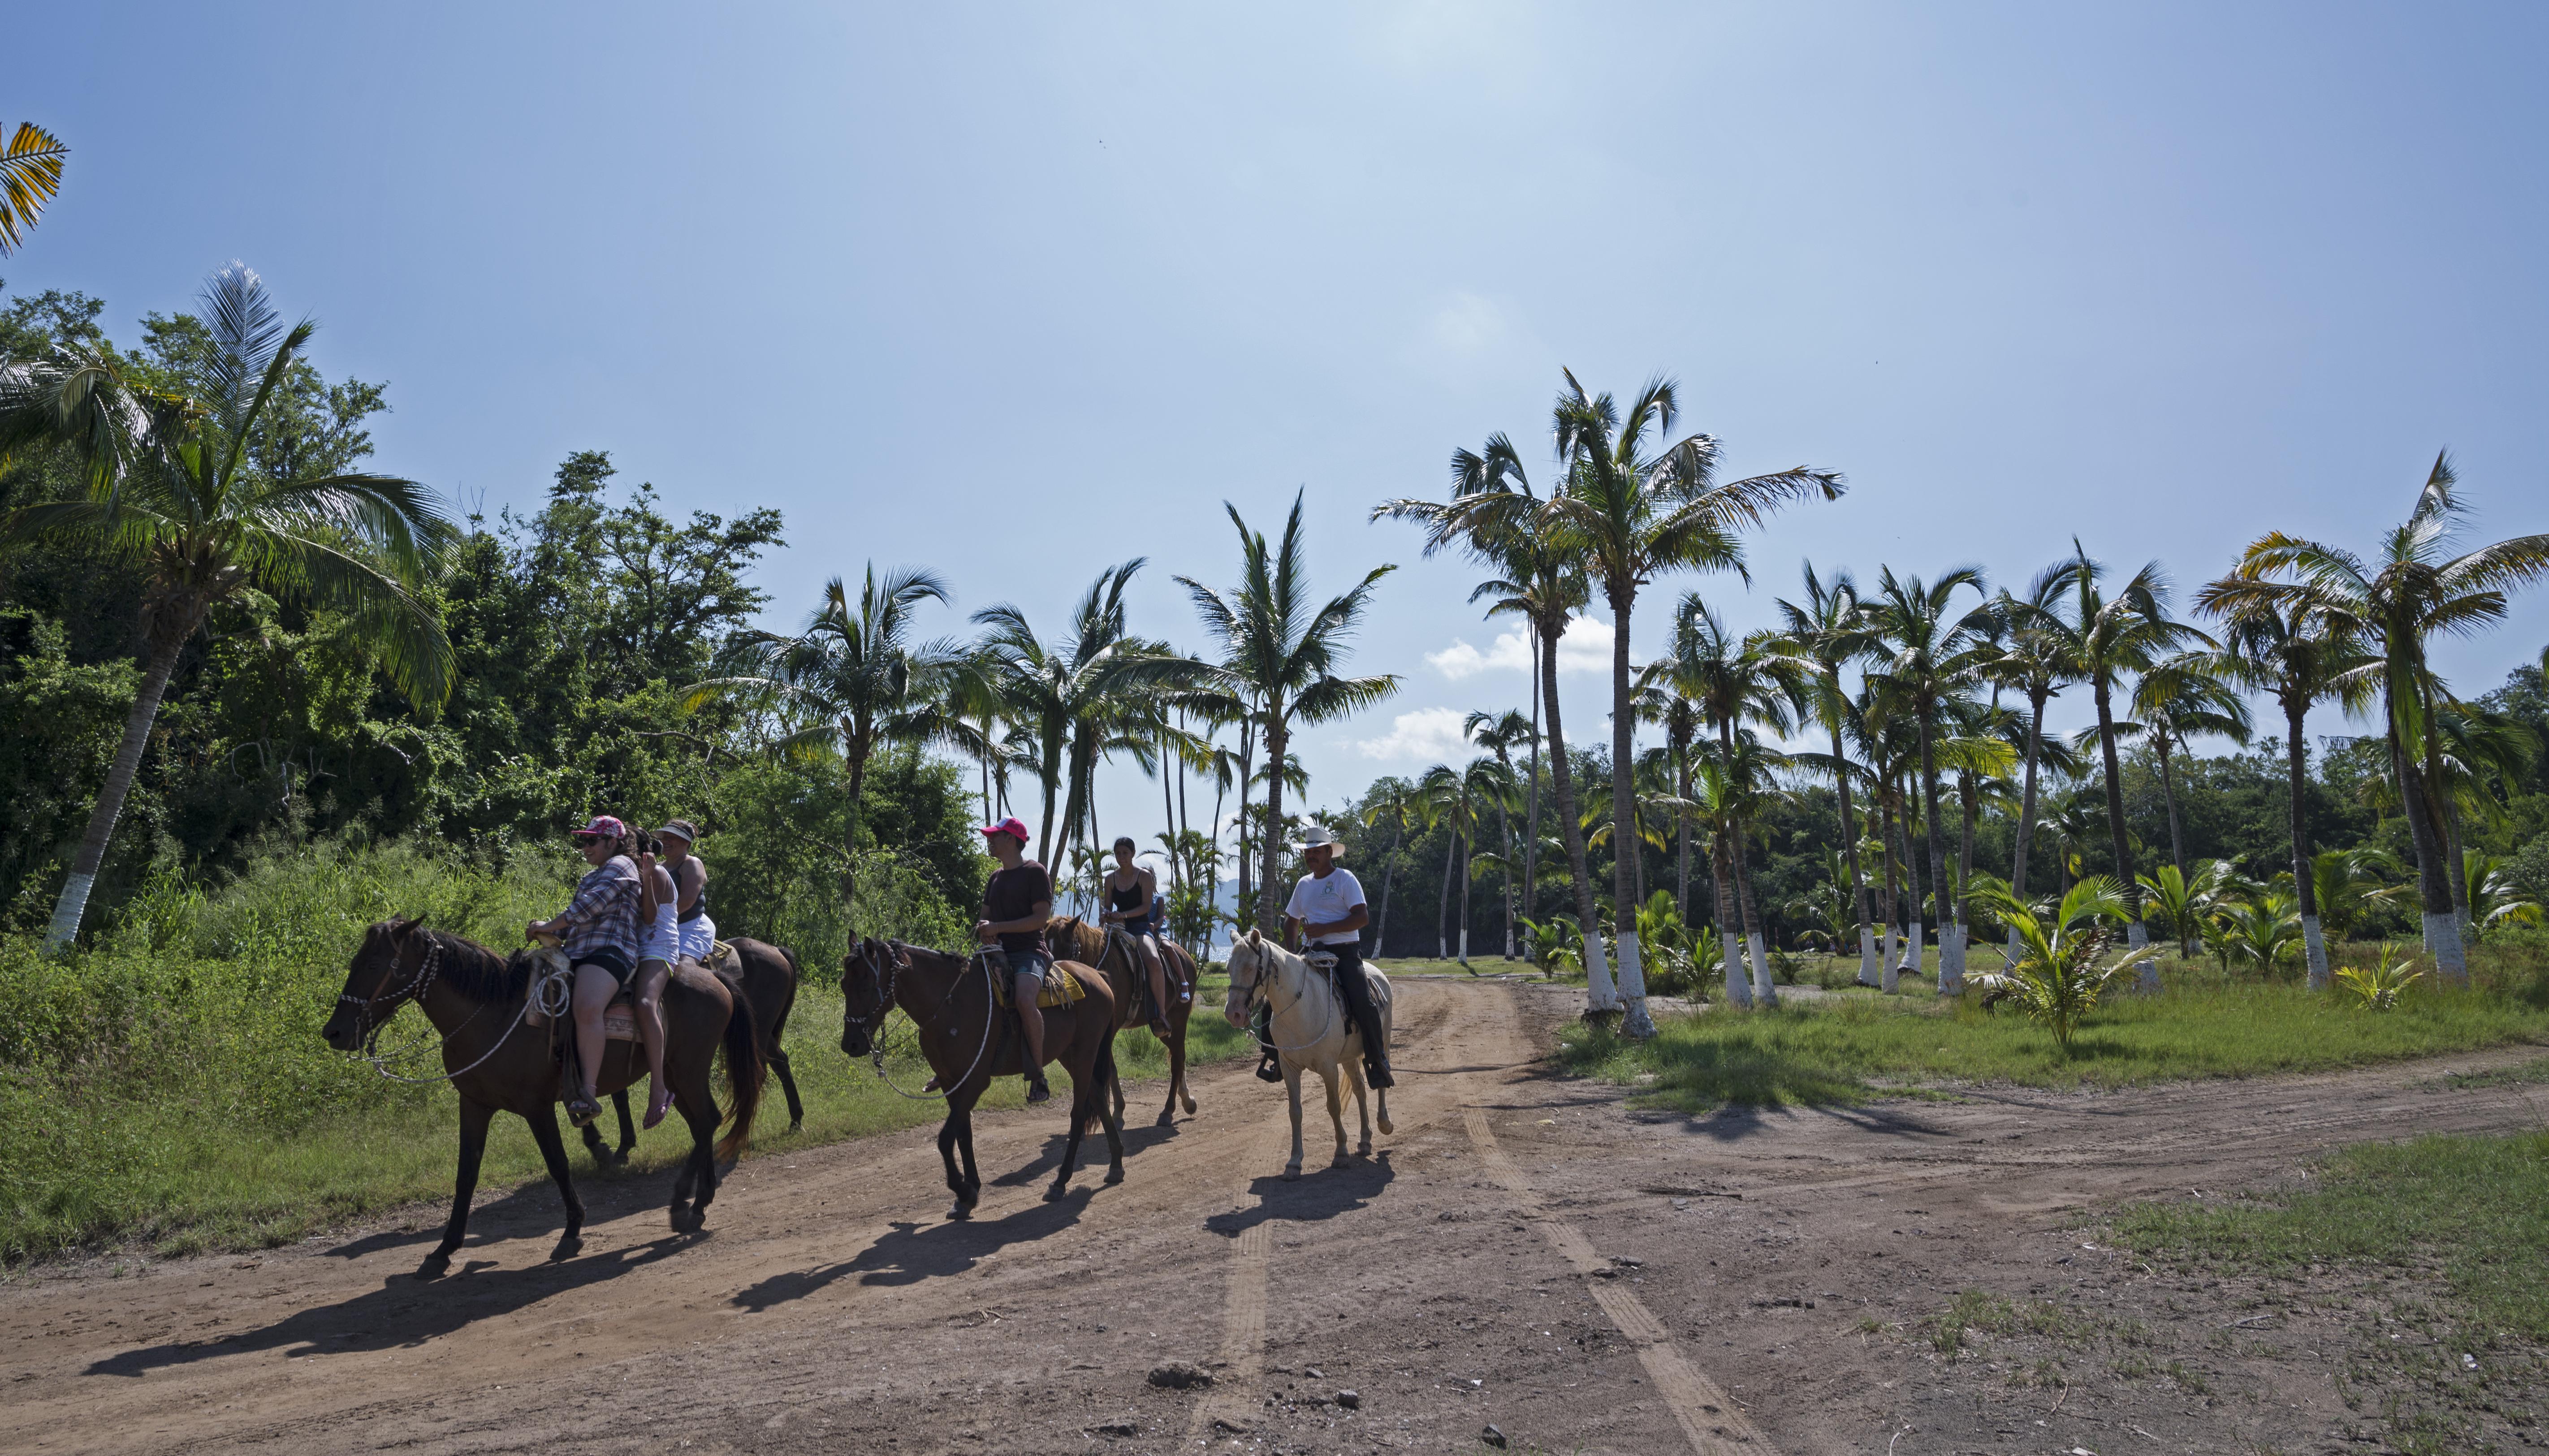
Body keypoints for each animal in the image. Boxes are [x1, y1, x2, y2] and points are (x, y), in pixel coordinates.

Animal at [317, 923, 760, 1275]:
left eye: (374, 965)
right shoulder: (474, 1105)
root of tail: (717, 981)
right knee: (704, 1124)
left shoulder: (537, 1107)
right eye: (357, 962)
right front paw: (443, 1251)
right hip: (674, 1077)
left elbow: (558, 1165)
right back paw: (700, 1203)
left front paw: (572, 1231)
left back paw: (683, 1204)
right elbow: (466, 1175)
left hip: (686, 1072)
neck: (491, 1015)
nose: (334, 1032)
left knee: (707, 1122)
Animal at [588, 938, 805, 1167]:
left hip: (759, 1032)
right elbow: (616, 1096)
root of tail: (777, 950)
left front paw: (606, 1147)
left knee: (760, 1073)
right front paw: (618, 1147)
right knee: (780, 1063)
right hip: (762, 1033)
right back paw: (795, 1120)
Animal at [841, 933, 1121, 1219]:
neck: (950, 1004)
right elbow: (963, 1134)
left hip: (1086, 1052)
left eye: (866, 985)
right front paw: (970, 1191)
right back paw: (1116, 1165)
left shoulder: (975, 1082)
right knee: (1098, 1099)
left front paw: (963, 1190)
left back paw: (1060, 1181)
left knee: (1079, 1114)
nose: (850, 1045)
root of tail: (1098, 976)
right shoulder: (951, 1081)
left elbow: (946, 1139)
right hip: (1070, 1055)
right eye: (844, 985)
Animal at [1040, 918, 1198, 1132]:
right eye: (1046, 948)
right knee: (1179, 1055)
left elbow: (1108, 1069)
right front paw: (1117, 1113)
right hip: (1165, 1028)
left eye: (1067, 946)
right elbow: (1108, 1070)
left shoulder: (1108, 1031)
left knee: (1177, 1061)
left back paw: (1168, 1110)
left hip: (1179, 1019)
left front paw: (1116, 1114)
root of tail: (1186, 957)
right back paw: (1187, 1100)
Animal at [1218, 933, 1397, 1183]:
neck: (1301, 1008)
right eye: (1228, 967)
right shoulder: (1289, 1067)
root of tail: (1378, 974)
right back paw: (1365, 1139)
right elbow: (1295, 1112)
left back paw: (1384, 1123)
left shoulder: (1328, 1067)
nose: (1233, 1014)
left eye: (1254, 967)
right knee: (1360, 1088)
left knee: (1381, 1077)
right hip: (1349, 1057)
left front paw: (1341, 1153)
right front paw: (1294, 1163)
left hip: (1384, 1041)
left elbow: (1334, 1106)